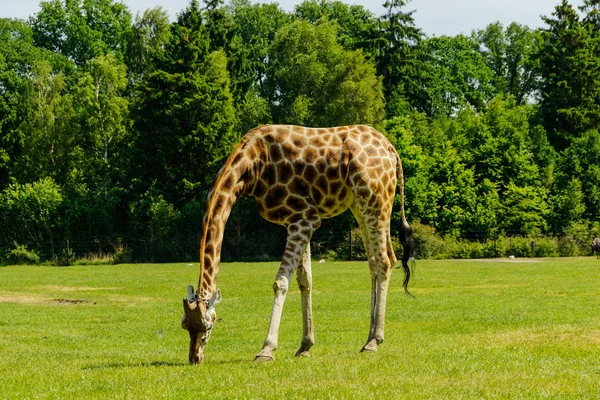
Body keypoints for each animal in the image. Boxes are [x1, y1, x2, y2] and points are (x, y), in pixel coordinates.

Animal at [180, 124, 412, 362]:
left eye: (208, 325)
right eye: (184, 325)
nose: (195, 357)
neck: (252, 165)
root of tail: (391, 150)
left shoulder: (304, 217)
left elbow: (281, 283)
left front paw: (266, 349)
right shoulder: (297, 220)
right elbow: (305, 280)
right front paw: (305, 345)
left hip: (375, 199)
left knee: (384, 261)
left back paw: (374, 341)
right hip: (359, 204)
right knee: (376, 262)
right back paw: (369, 338)